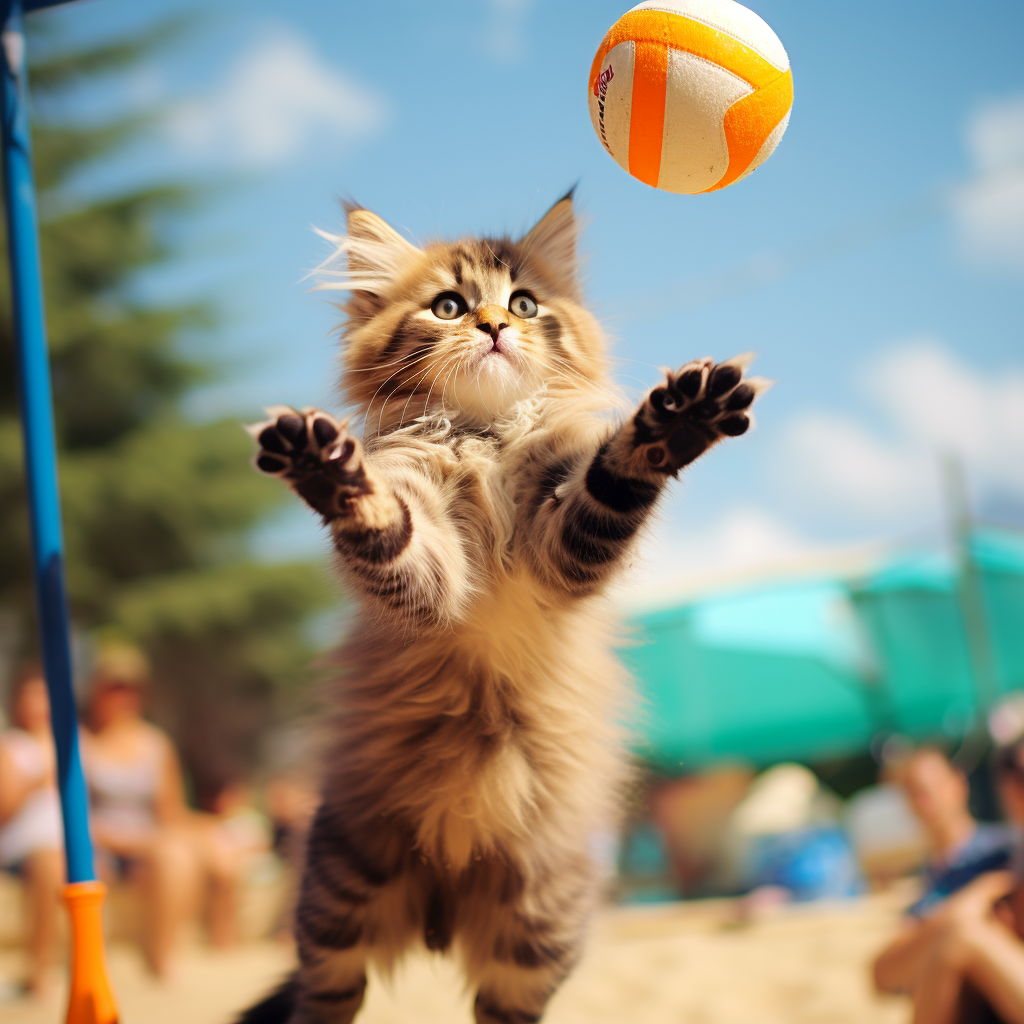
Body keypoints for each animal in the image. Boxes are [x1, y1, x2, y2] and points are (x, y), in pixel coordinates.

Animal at [241, 192, 770, 1024]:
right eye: (449, 306)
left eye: (523, 304)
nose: (493, 326)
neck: (485, 441)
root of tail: (441, 912)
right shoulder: (427, 566)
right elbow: (387, 527)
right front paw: (330, 473)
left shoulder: (566, 544)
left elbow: (613, 478)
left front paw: (674, 425)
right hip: (336, 910)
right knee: (321, 1003)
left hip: (534, 936)